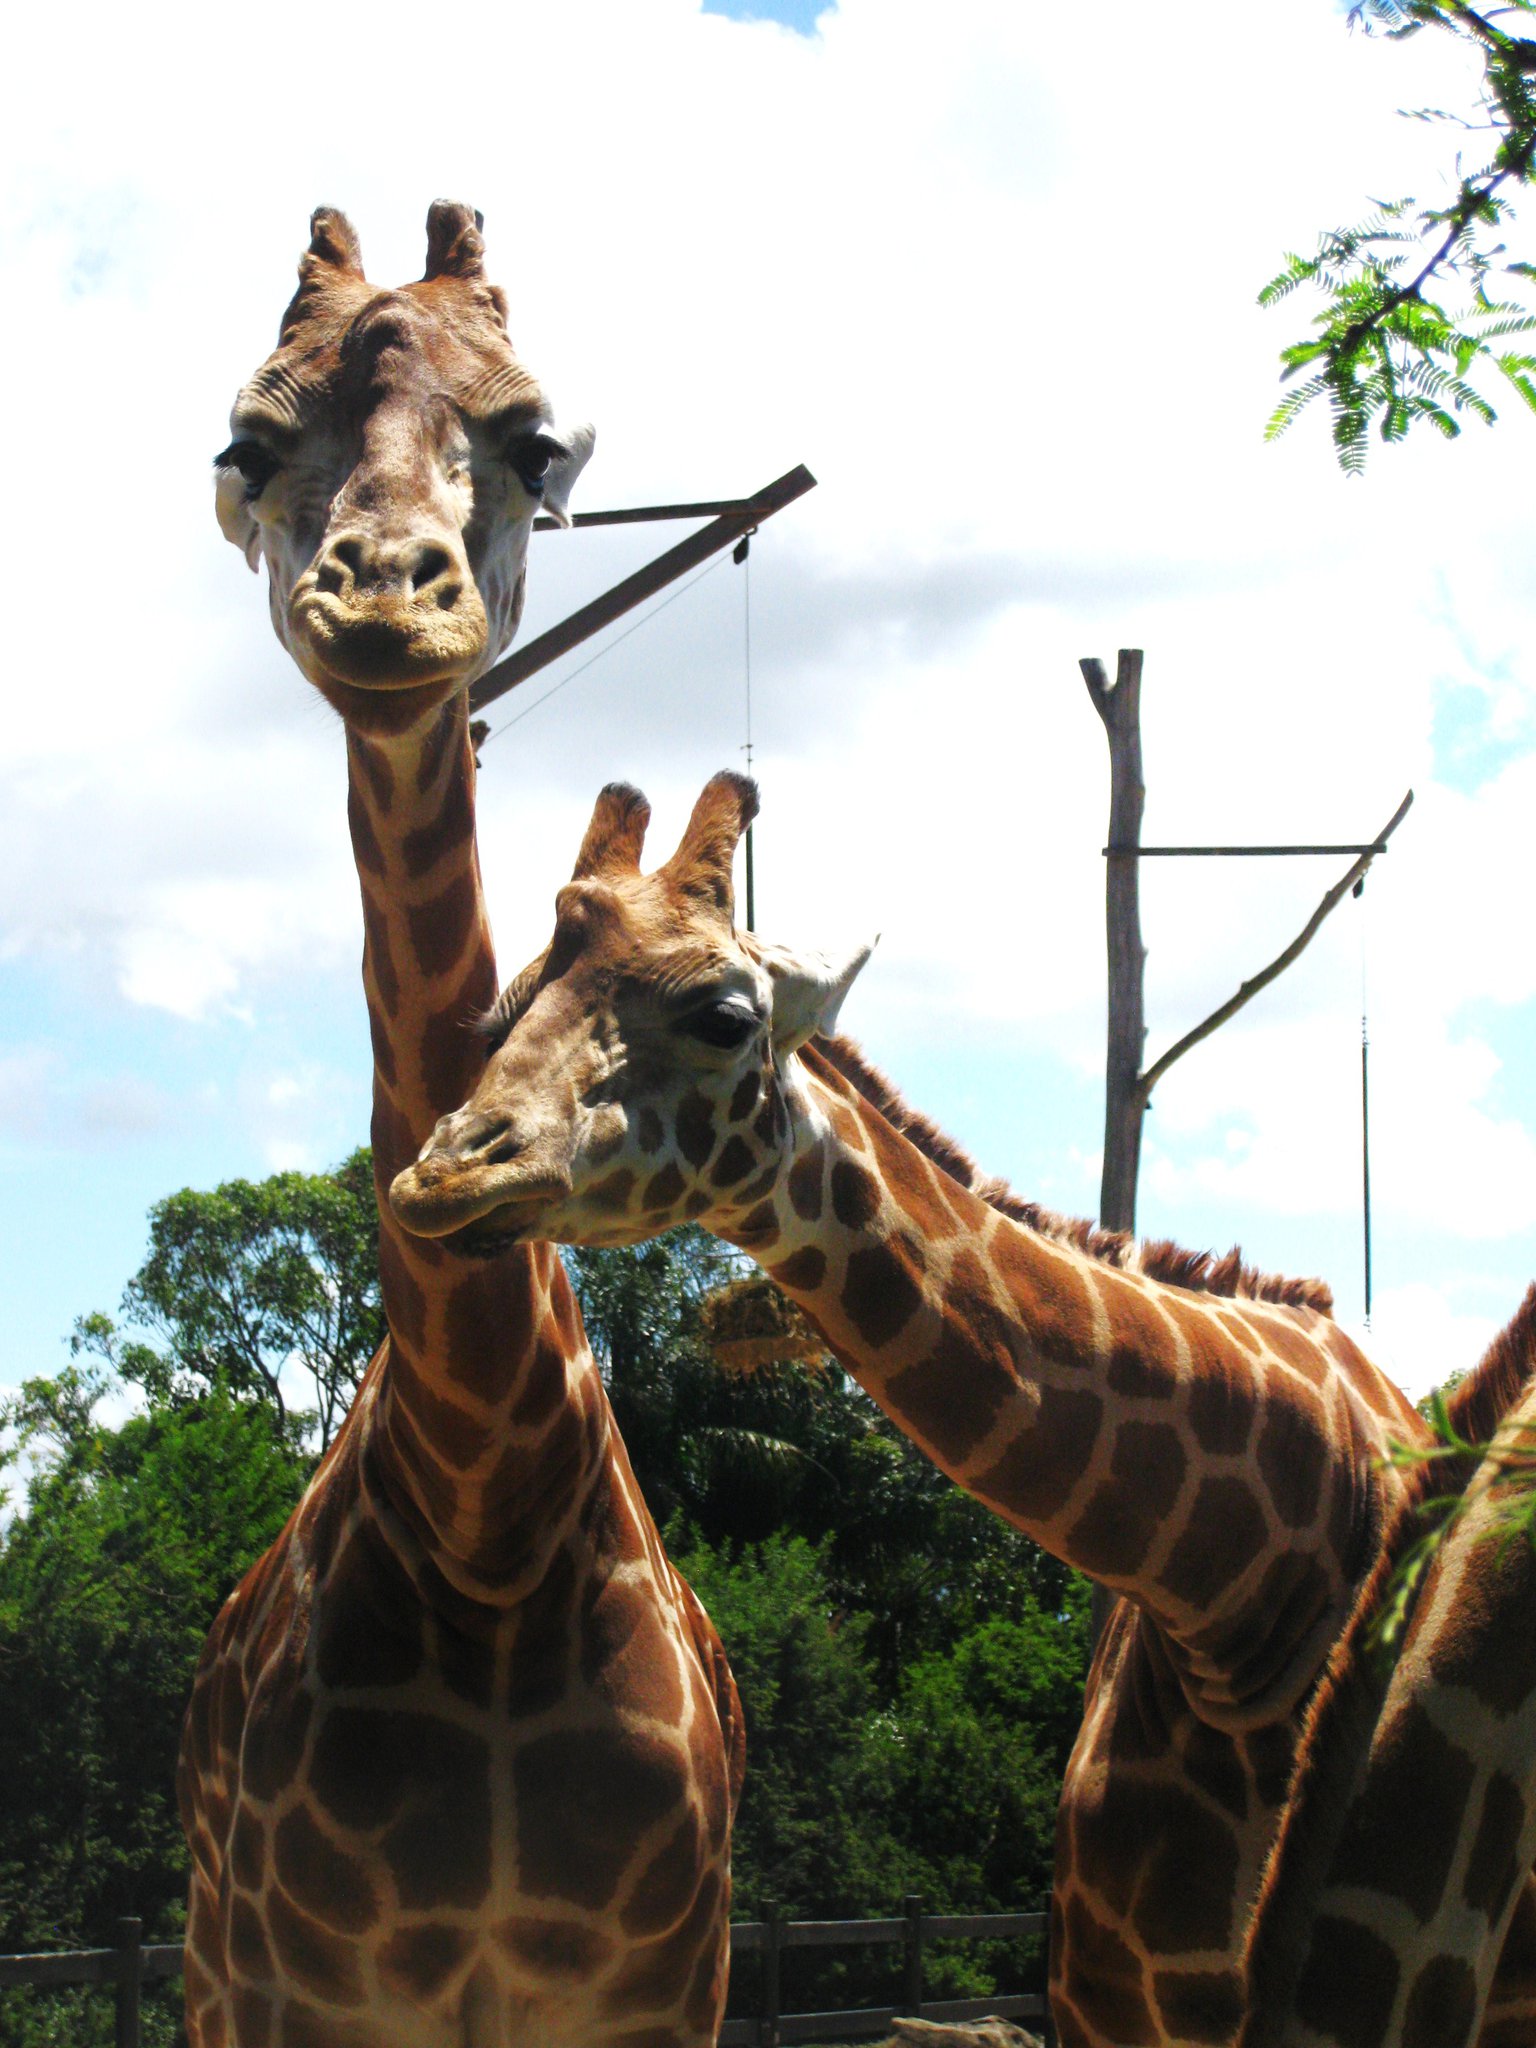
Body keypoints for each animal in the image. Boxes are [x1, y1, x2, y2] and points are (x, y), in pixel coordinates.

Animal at [180, 207, 745, 2048]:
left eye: (537, 441)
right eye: (247, 444)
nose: (385, 595)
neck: (486, 1524)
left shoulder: (670, 1987)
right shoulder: (293, 1988)